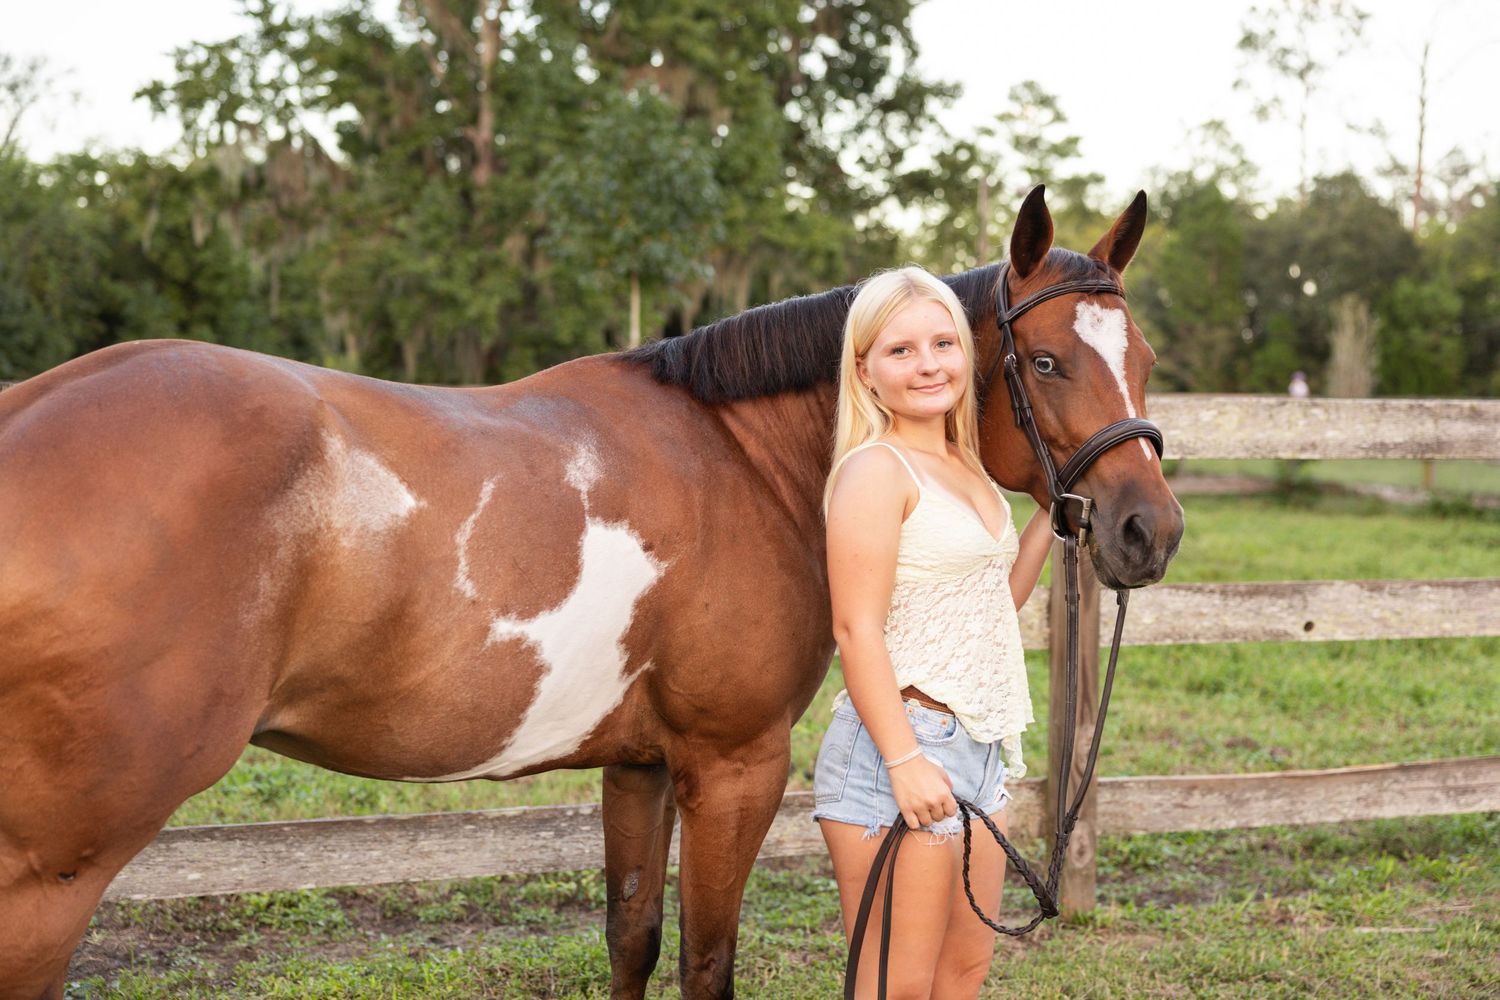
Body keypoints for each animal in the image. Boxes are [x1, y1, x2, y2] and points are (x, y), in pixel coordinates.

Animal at [0, 186, 1182, 999]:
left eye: (1147, 355)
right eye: (1042, 362)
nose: (1148, 531)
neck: (745, 457)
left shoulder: (640, 764)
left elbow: (632, 938)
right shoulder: (732, 766)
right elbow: (707, 960)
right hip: (56, 868)